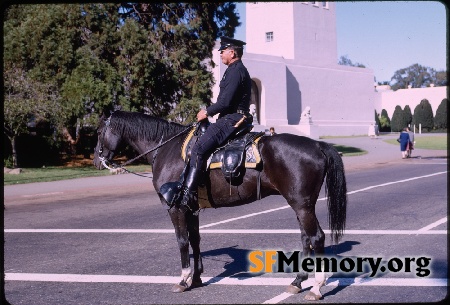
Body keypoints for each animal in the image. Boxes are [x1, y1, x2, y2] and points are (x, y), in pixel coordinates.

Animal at [92, 110, 348, 300]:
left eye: (98, 131)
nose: (96, 160)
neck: (167, 149)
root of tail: (317, 145)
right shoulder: (191, 208)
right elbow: (195, 240)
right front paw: (196, 278)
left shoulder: (176, 208)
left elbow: (182, 241)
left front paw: (183, 279)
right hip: (300, 205)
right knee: (306, 238)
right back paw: (297, 282)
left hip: (302, 205)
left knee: (316, 238)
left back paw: (317, 287)